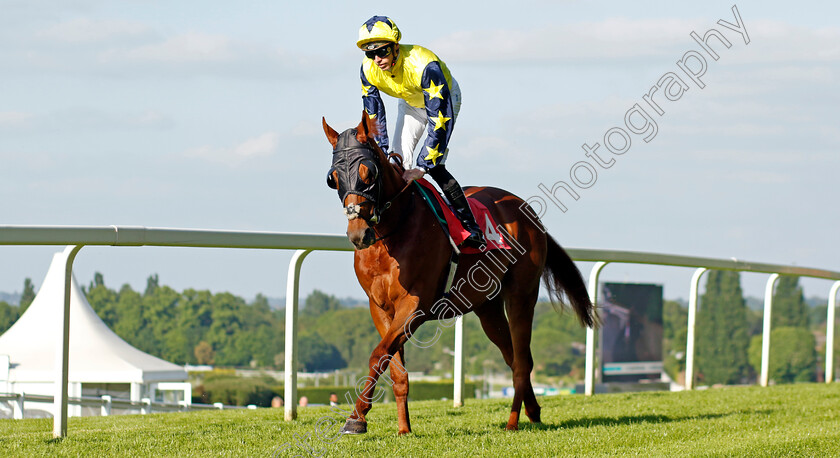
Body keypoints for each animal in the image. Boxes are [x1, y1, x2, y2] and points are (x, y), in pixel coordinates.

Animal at [322, 112, 596, 436]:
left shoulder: (415, 305)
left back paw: (513, 421)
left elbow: (378, 355)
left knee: (522, 362)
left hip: (522, 295)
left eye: (369, 173)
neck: (392, 232)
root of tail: (527, 211)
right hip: (488, 306)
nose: (358, 234)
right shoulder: (379, 308)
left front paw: (356, 417)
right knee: (511, 355)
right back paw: (533, 410)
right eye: (333, 178)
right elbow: (394, 366)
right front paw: (402, 428)